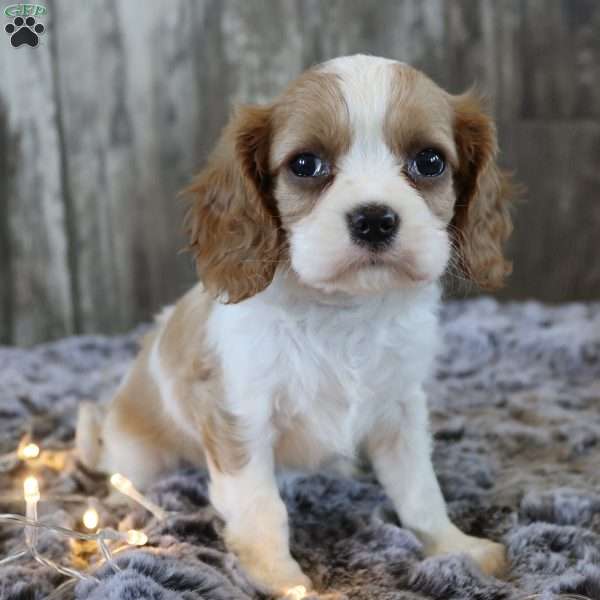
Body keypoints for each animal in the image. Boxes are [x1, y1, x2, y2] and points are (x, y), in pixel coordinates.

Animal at [77, 55, 512, 596]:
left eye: (429, 162)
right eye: (306, 165)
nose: (374, 219)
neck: (343, 312)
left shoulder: (401, 410)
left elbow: (419, 489)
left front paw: (454, 547)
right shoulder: (238, 417)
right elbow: (262, 508)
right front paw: (284, 580)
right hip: (138, 456)